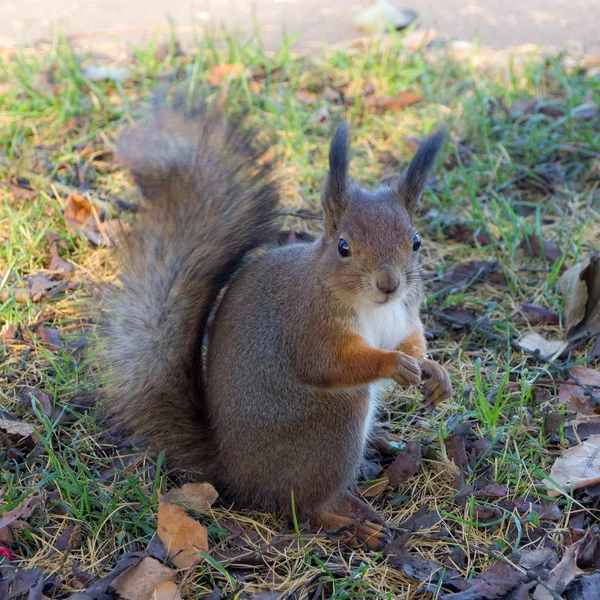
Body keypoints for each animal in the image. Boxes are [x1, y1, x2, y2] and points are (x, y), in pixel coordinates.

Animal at [103, 105, 450, 552]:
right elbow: (330, 365)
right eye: (343, 246)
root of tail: (234, 473)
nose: (389, 283)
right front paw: (393, 364)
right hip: (332, 425)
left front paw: (435, 373)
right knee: (302, 507)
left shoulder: (404, 314)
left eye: (416, 241)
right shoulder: (308, 326)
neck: (374, 307)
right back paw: (351, 525)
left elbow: (412, 340)